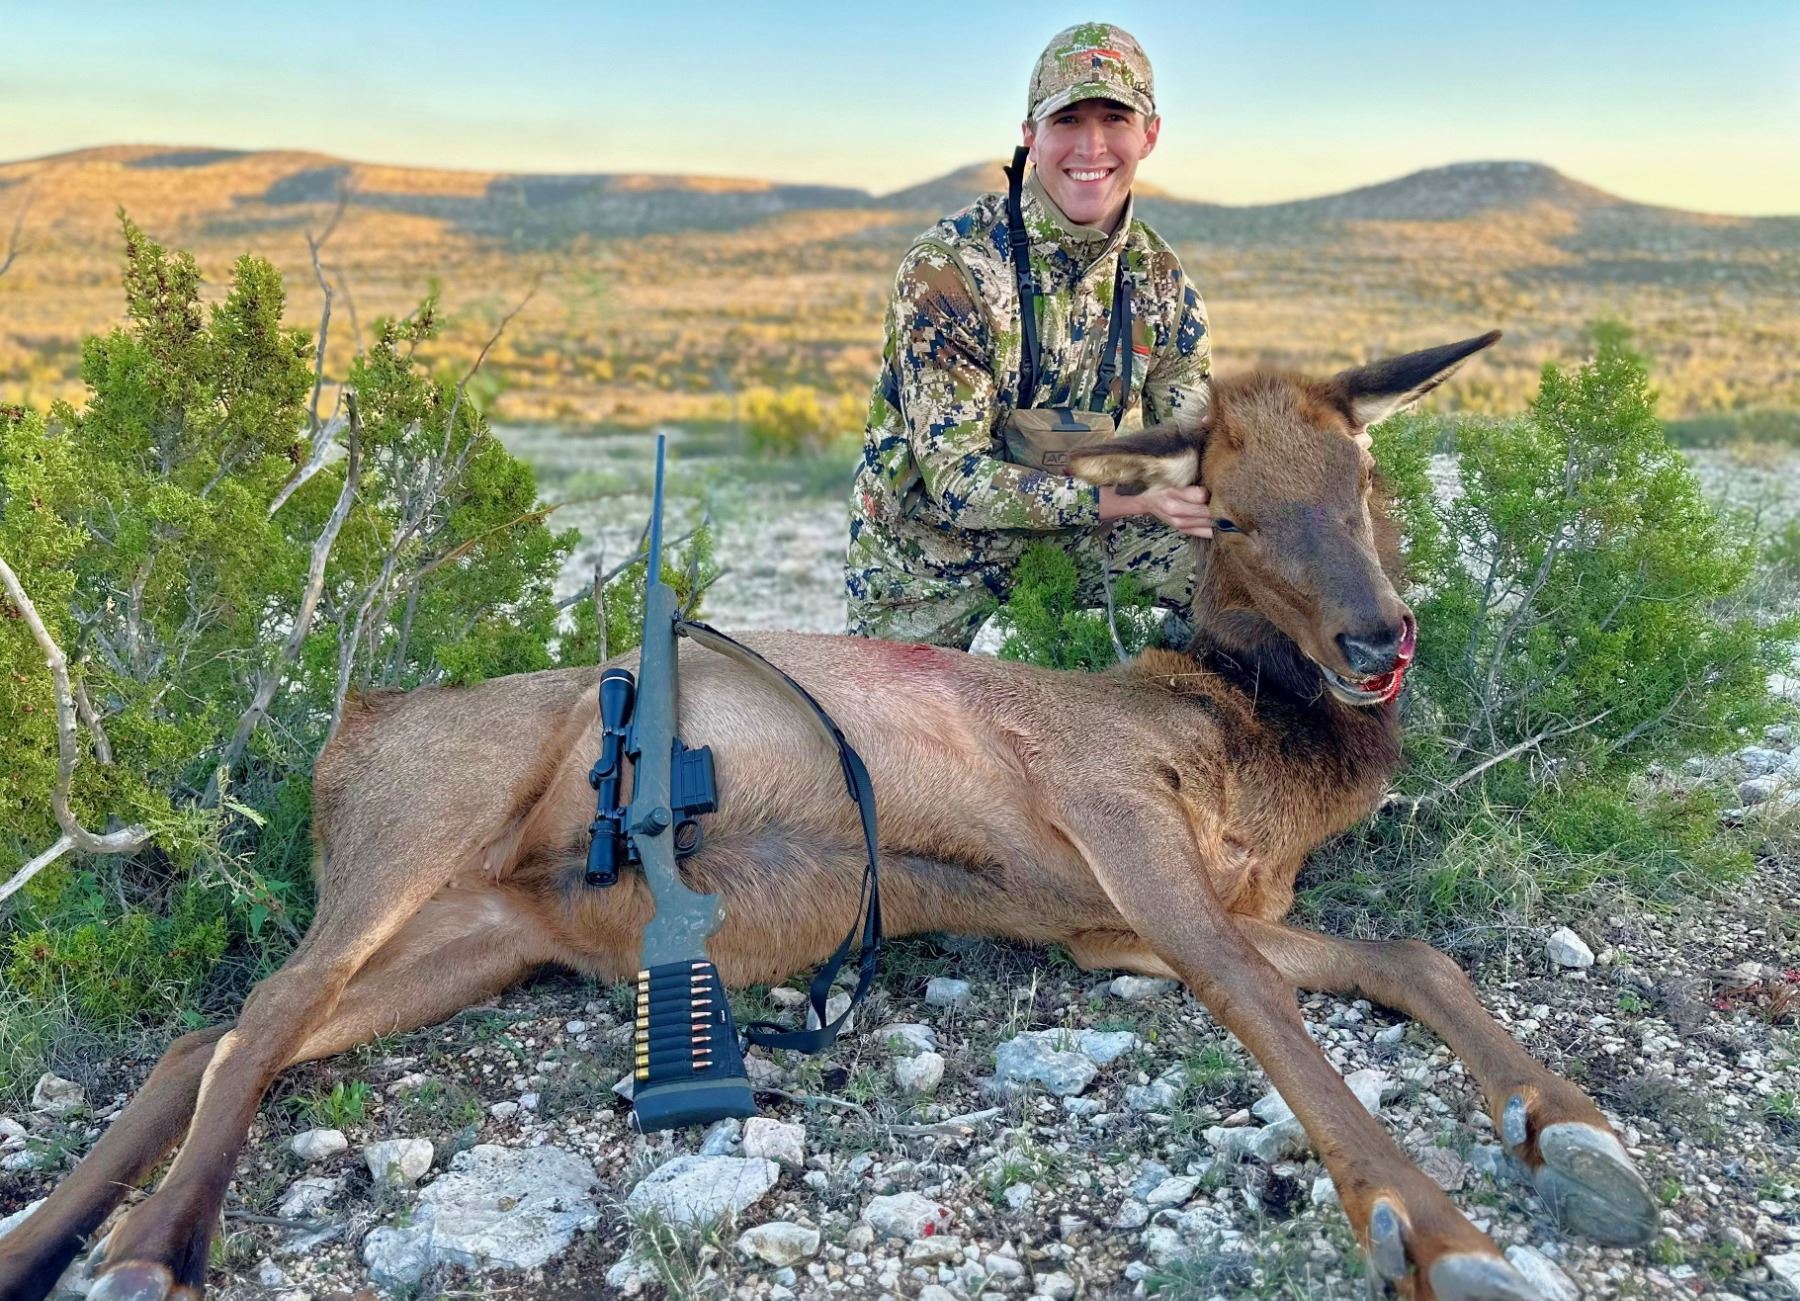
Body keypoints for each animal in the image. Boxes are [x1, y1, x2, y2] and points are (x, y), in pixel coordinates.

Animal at [0, 330, 1658, 1301]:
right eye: (1229, 510)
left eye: (1366, 467)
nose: (1379, 639)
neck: (1255, 747)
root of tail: (345, 732)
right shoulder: (1112, 821)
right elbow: (1265, 999)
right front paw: (1441, 1233)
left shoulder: (1127, 927)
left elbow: (1407, 958)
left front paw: (1570, 1126)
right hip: (416, 842)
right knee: (260, 1011)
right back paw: (144, 1254)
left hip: (479, 937)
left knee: (218, 1032)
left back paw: (41, 1243)